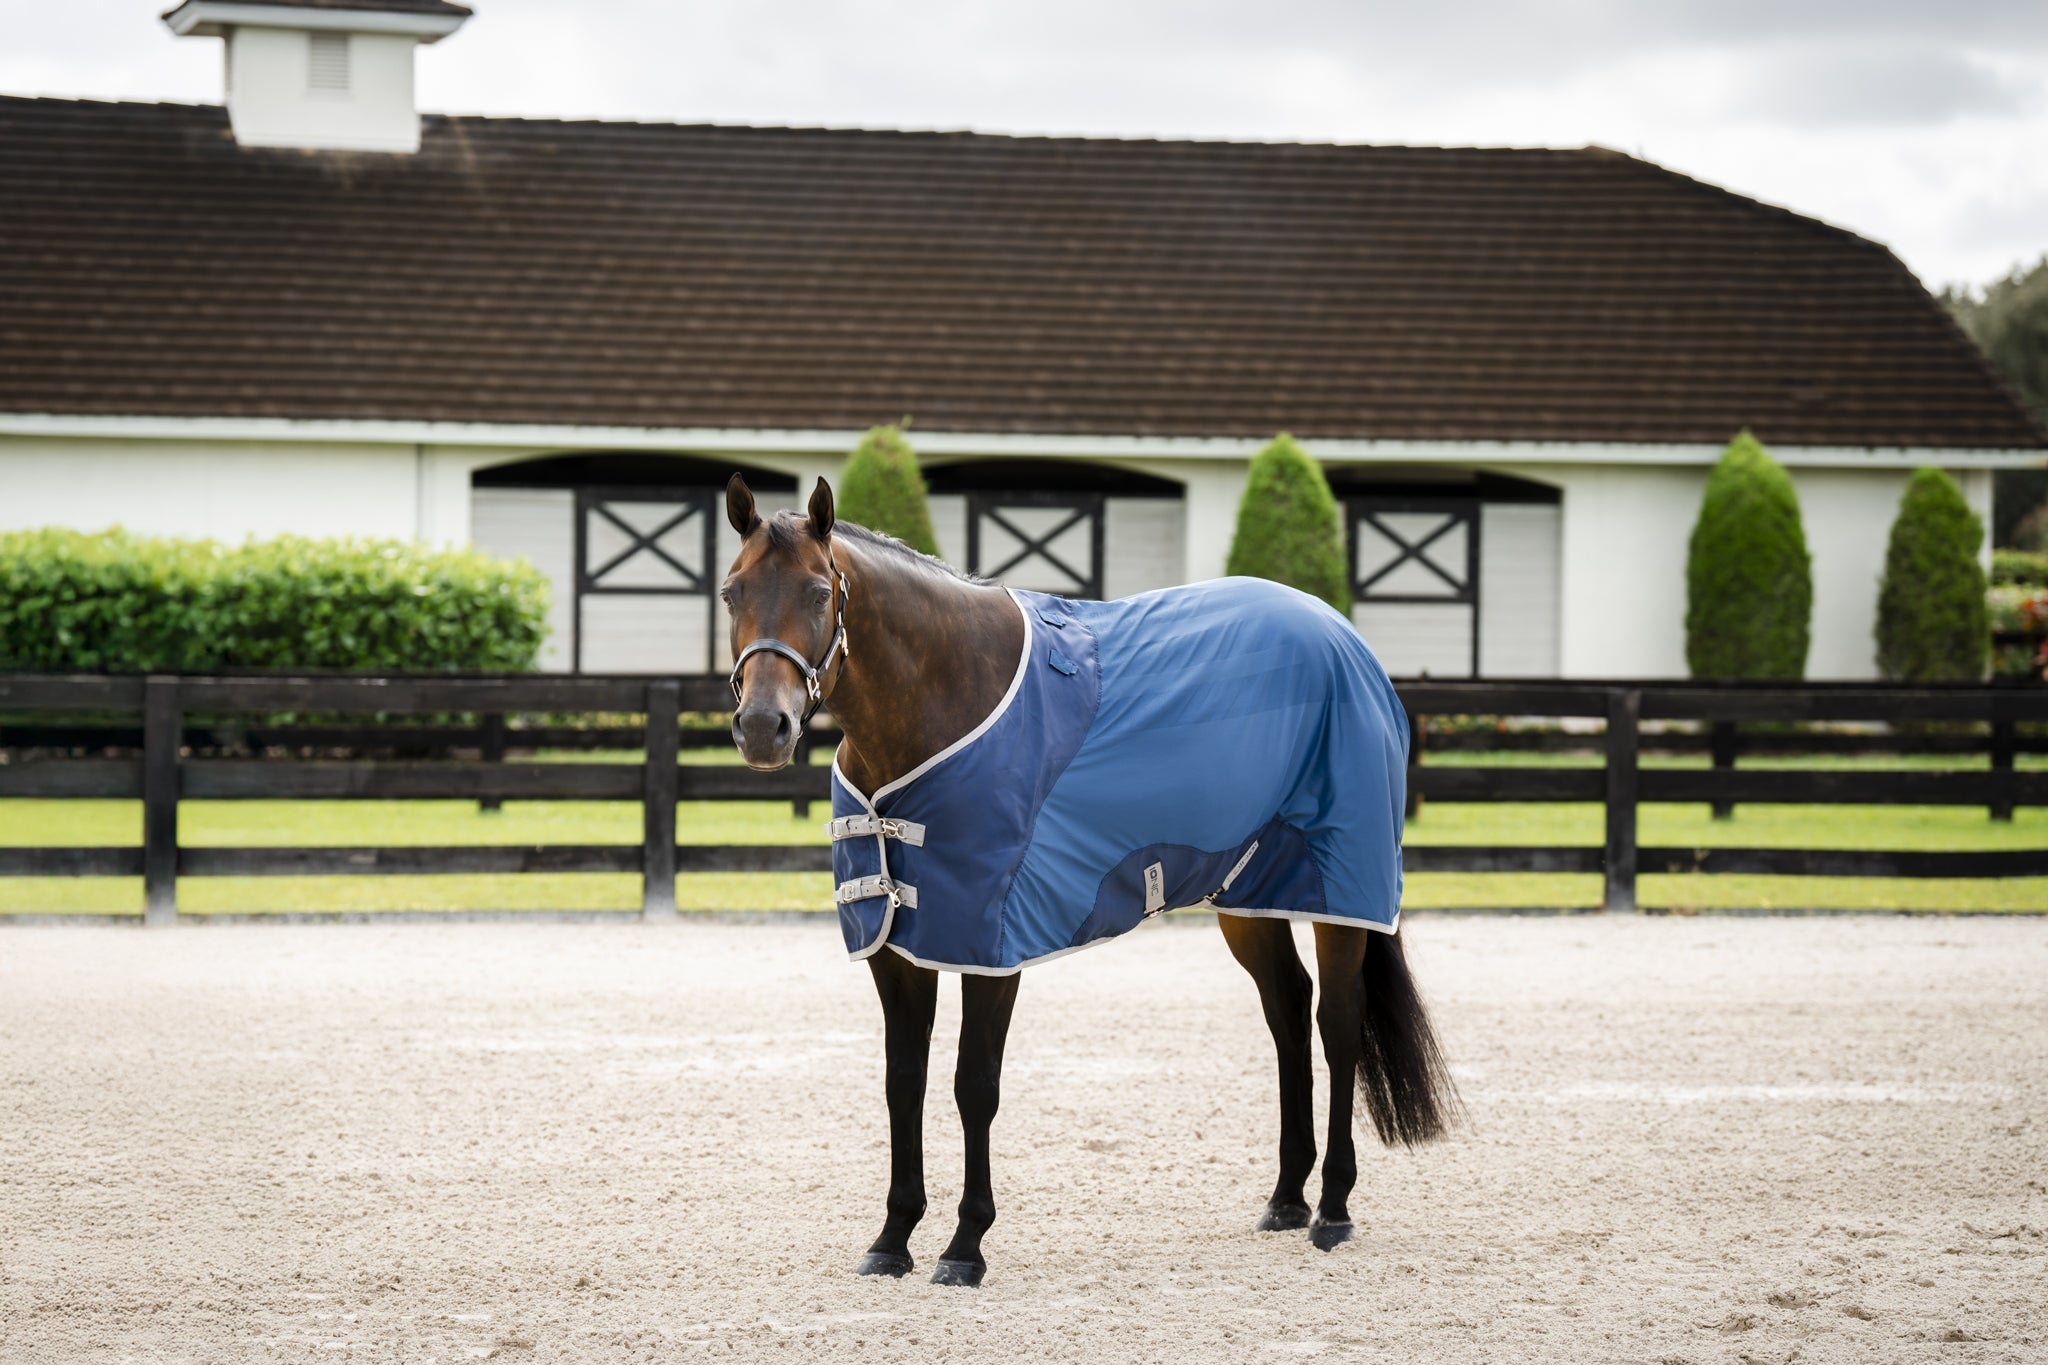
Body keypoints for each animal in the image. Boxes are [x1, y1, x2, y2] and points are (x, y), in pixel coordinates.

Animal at [721, 474, 1459, 1287]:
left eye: (820, 592)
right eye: (732, 591)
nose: (763, 728)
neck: (944, 699)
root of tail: (1344, 637)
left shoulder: (991, 943)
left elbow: (973, 1086)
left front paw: (965, 1245)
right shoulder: (895, 943)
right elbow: (902, 1082)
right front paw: (893, 1237)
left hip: (1342, 889)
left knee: (1337, 1023)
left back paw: (1331, 1208)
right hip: (1250, 891)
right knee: (1288, 1010)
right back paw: (1287, 1198)